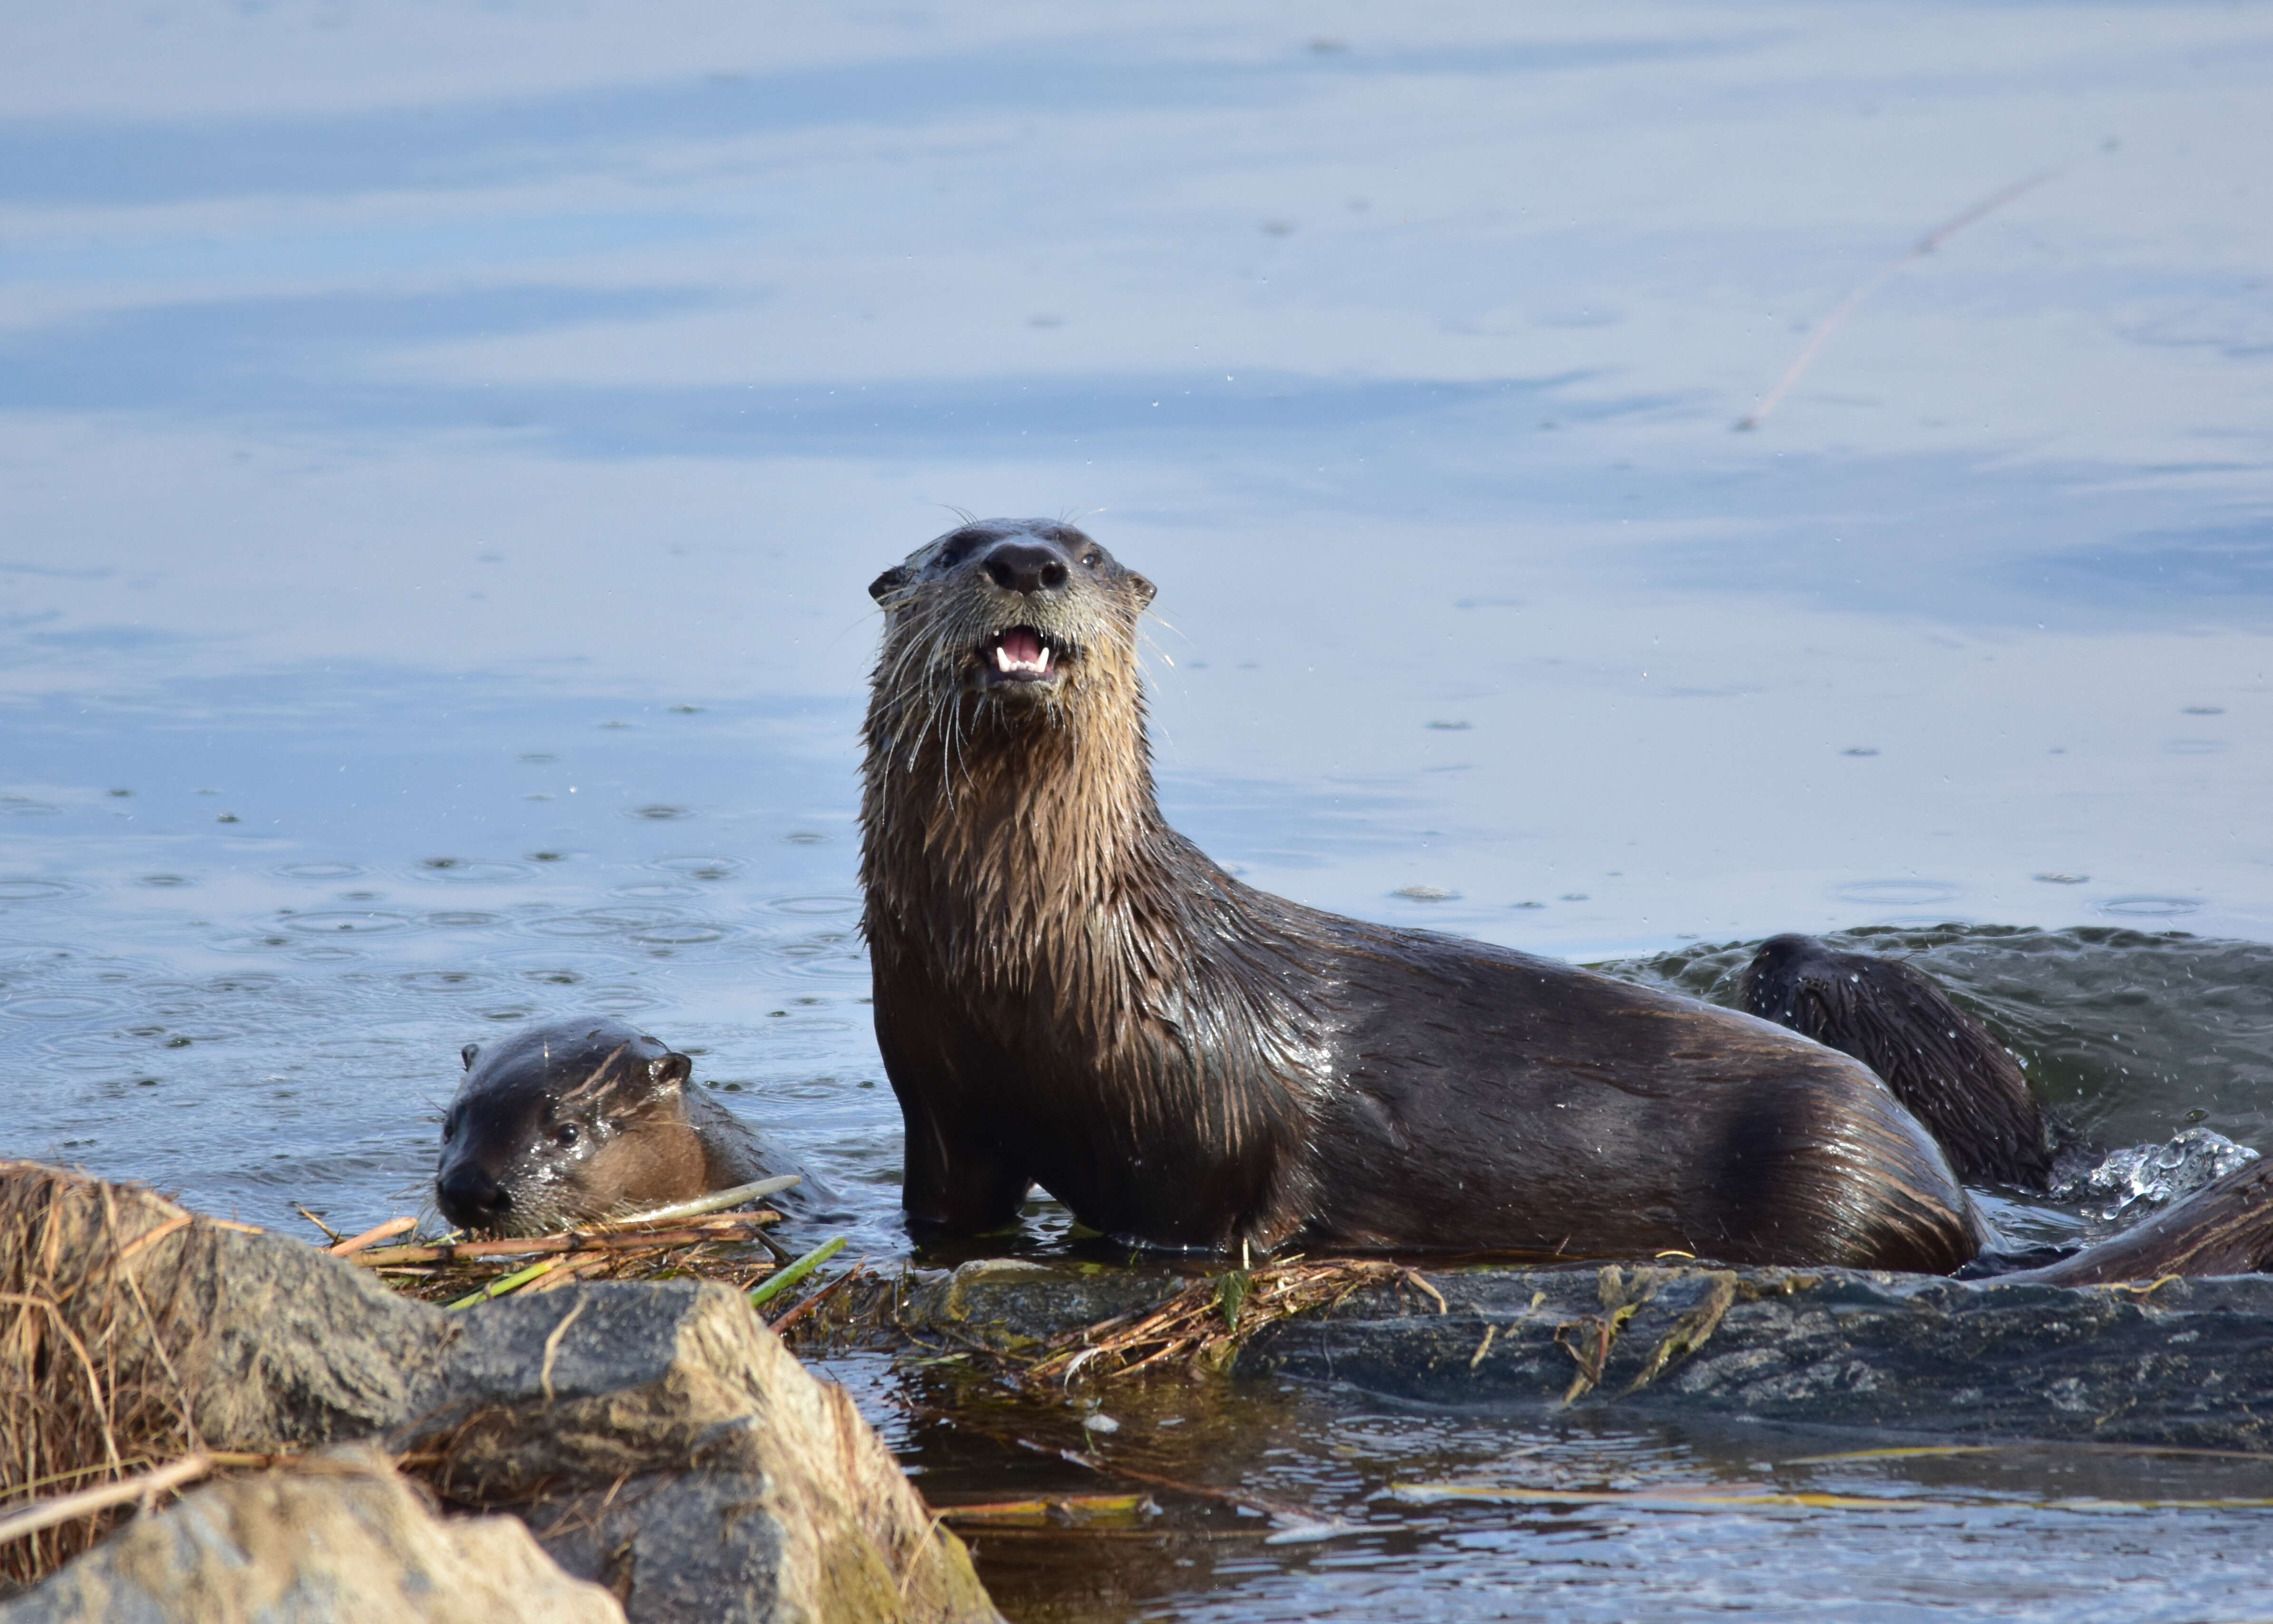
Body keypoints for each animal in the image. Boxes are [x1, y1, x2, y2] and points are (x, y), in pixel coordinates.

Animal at [855, 520, 2273, 1281]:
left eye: (1088, 552)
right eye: (954, 548)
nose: (1026, 561)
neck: (1047, 953)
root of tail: (1948, 1196)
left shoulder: (1218, 1130)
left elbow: (1230, 1212)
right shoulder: (938, 1093)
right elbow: (947, 1199)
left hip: (1821, 1169)